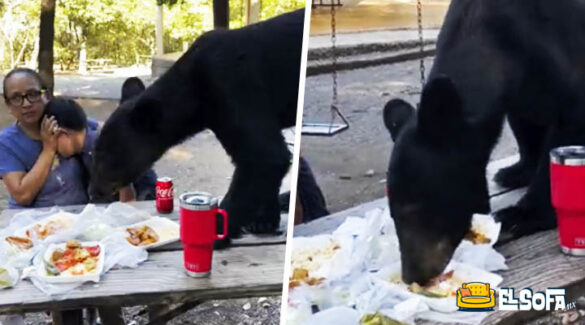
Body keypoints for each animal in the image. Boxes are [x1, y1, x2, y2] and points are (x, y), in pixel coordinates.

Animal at [90, 8, 306, 247]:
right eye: (94, 152)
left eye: (107, 155)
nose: (93, 191)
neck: (194, 94)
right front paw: (263, 220)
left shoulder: (232, 85)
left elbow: (264, 155)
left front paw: (215, 232)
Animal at [384, 0, 584, 284]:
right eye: (392, 212)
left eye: (415, 209)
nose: (413, 275)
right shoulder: (519, 89)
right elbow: (524, 122)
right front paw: (516, 171)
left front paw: (519, 216)